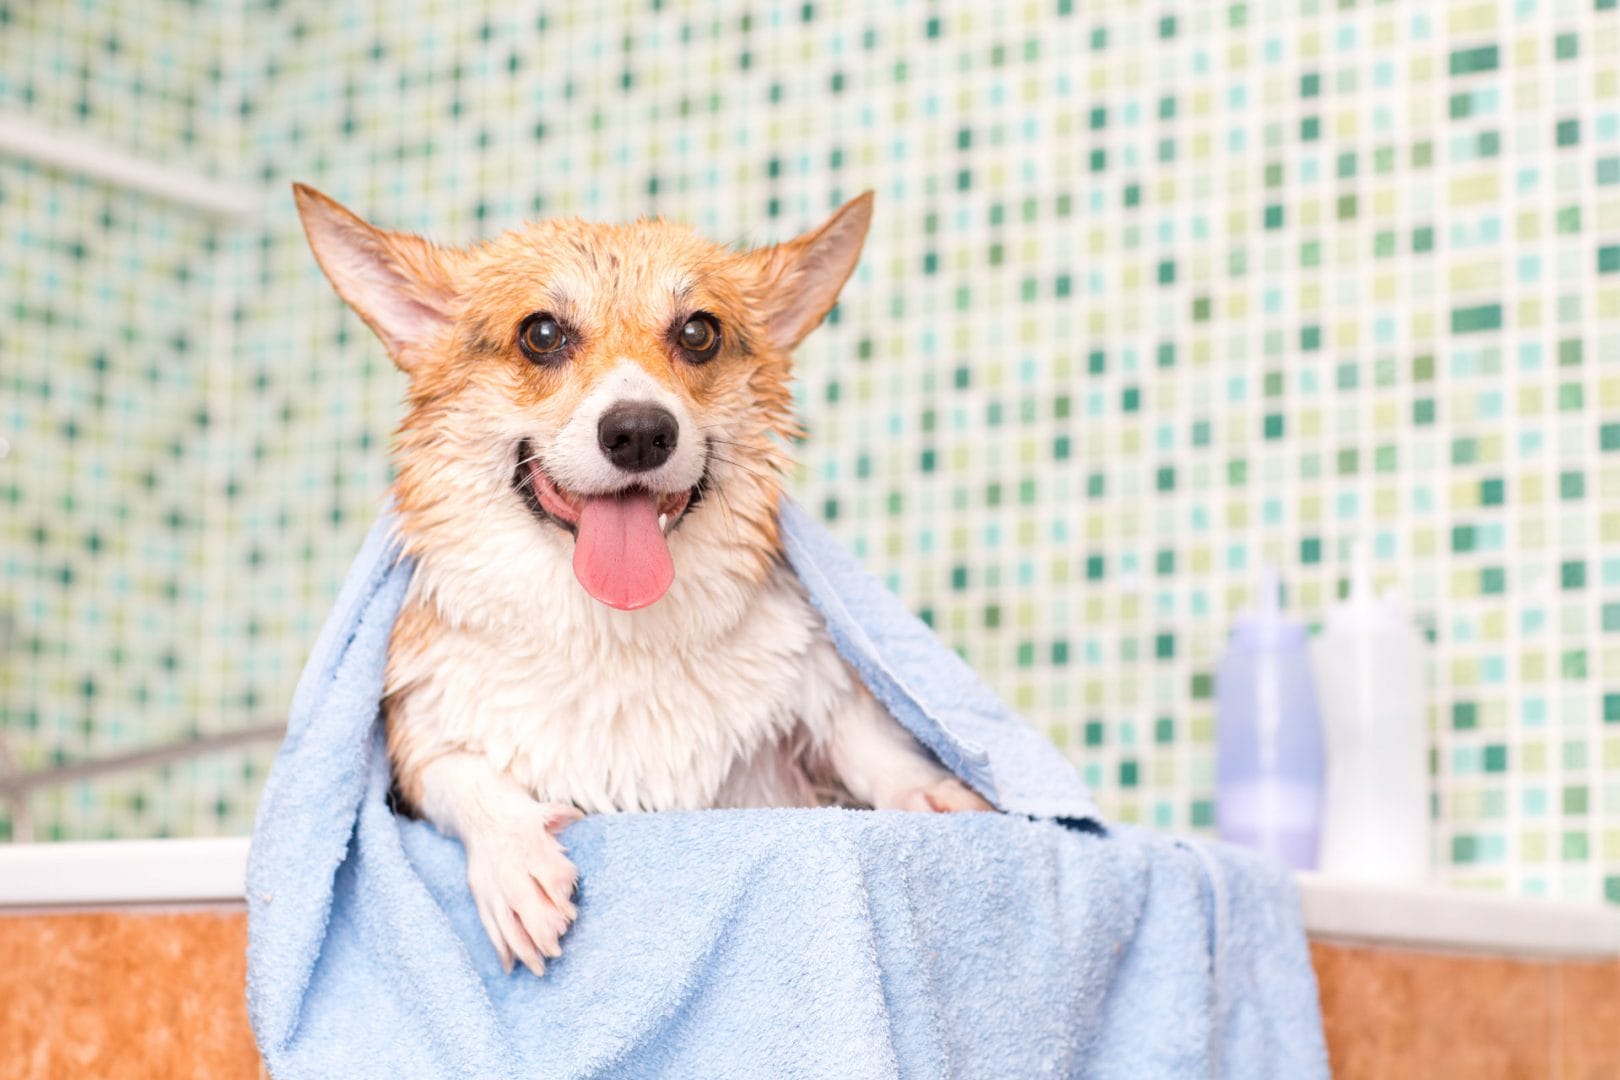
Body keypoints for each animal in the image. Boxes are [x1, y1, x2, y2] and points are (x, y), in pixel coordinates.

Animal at [298, 187, 991, 977]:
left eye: (698, 332)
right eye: (541, 334)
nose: (637, 433)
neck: (615, 630)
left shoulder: (813, 680)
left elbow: (864, 735)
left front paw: (933, 794)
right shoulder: (418, 734)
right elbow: (463, 776)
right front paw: (516, 862)